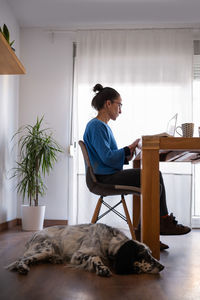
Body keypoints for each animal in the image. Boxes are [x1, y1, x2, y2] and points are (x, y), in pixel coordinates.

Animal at [5, 223, 164, 276]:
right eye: (144, 255)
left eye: (151, 253)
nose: (162, 267)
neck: (108, 241)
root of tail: (34, 234)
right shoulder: (79, 254)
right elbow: (95, 257)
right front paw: (102, 268)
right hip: (45, 248)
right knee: (21, 259)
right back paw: (22, 267)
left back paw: (55, 259)